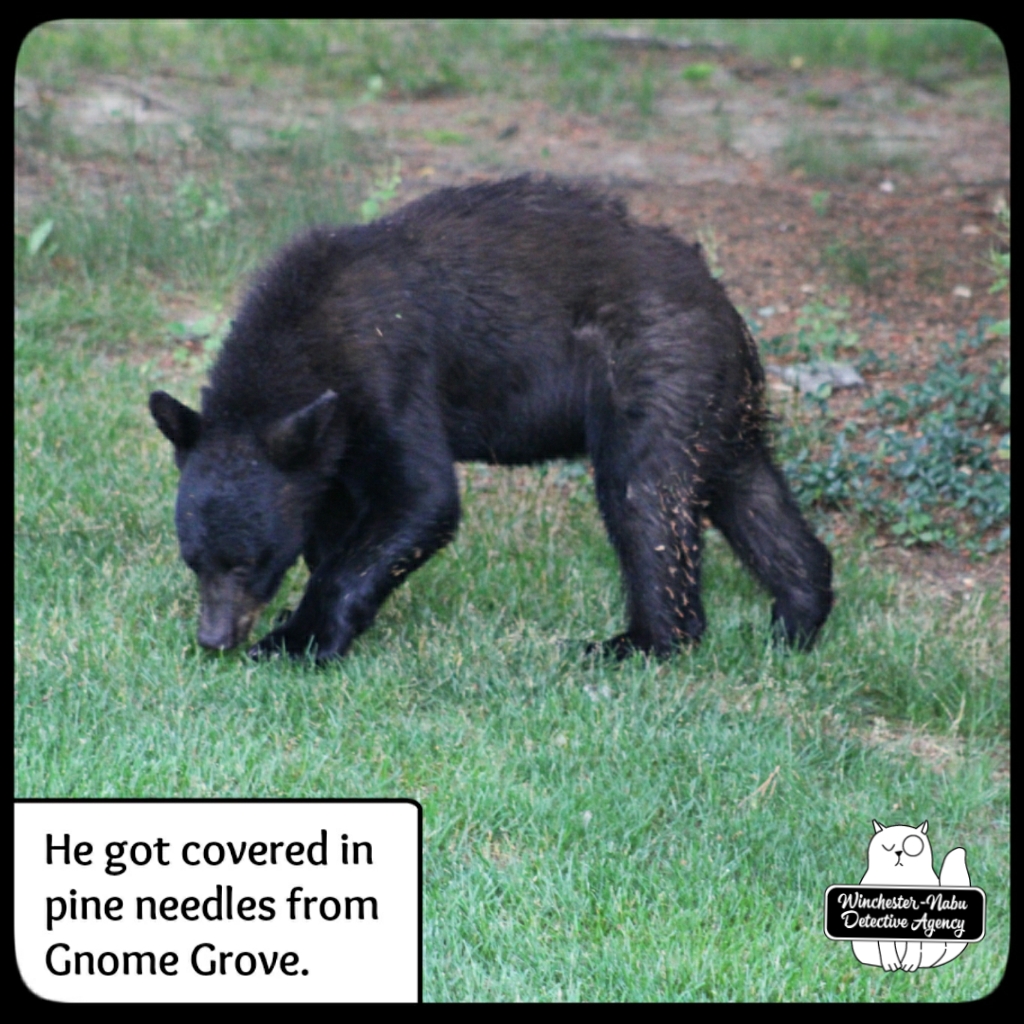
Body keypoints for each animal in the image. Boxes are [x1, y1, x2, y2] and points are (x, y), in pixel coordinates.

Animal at [150, 176, 832, 662]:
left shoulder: (390, 375)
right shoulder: (330, 442)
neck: (310, 331)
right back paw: (798, 617)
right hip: (716, 402)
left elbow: (421, 496)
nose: (215, 638)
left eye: (248, 561)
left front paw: (297, 640)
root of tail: (729, 308)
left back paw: (638, 642)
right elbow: (335, 517)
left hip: (655, 367)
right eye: (192, 559)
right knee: (747, 489)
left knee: (644, 497)